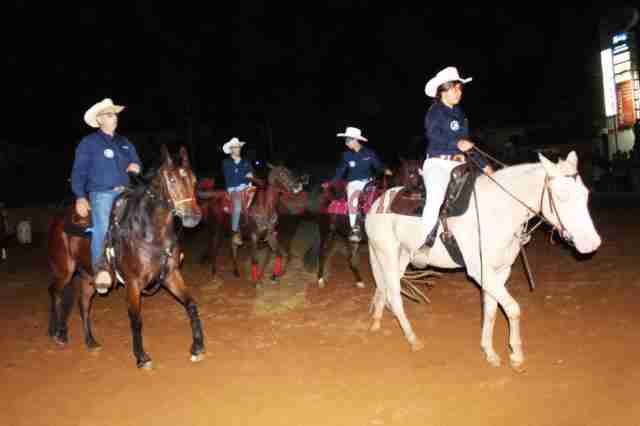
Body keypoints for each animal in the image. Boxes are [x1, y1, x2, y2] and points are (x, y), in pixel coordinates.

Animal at [47, 146, 202, 370]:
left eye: (194, 179)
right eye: (171, 179)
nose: (193, 216)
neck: (150, 233)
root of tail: (58, 220)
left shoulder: (171, 275)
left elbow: (190, 304)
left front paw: (197, 347)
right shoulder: (133, 283)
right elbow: (136, 319)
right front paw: (141, 357)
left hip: (88, 277)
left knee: (83, 305)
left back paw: (90, 341)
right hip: (64, 270)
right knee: (54, 292)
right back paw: (57, 333)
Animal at [364, 152, 600, 370]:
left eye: (586, 194)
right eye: (561, 196)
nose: (592, 243)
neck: (497, 211)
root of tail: (375, 205)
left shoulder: (500, 271)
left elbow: (491, 310)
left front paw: (490, 352)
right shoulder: (481, 271)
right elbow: (512, 309)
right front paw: (516, 356)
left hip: (401, 256)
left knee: (384, 289)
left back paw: (377, 322)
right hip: (387, 254)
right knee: (394, 296)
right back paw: (413, 339)